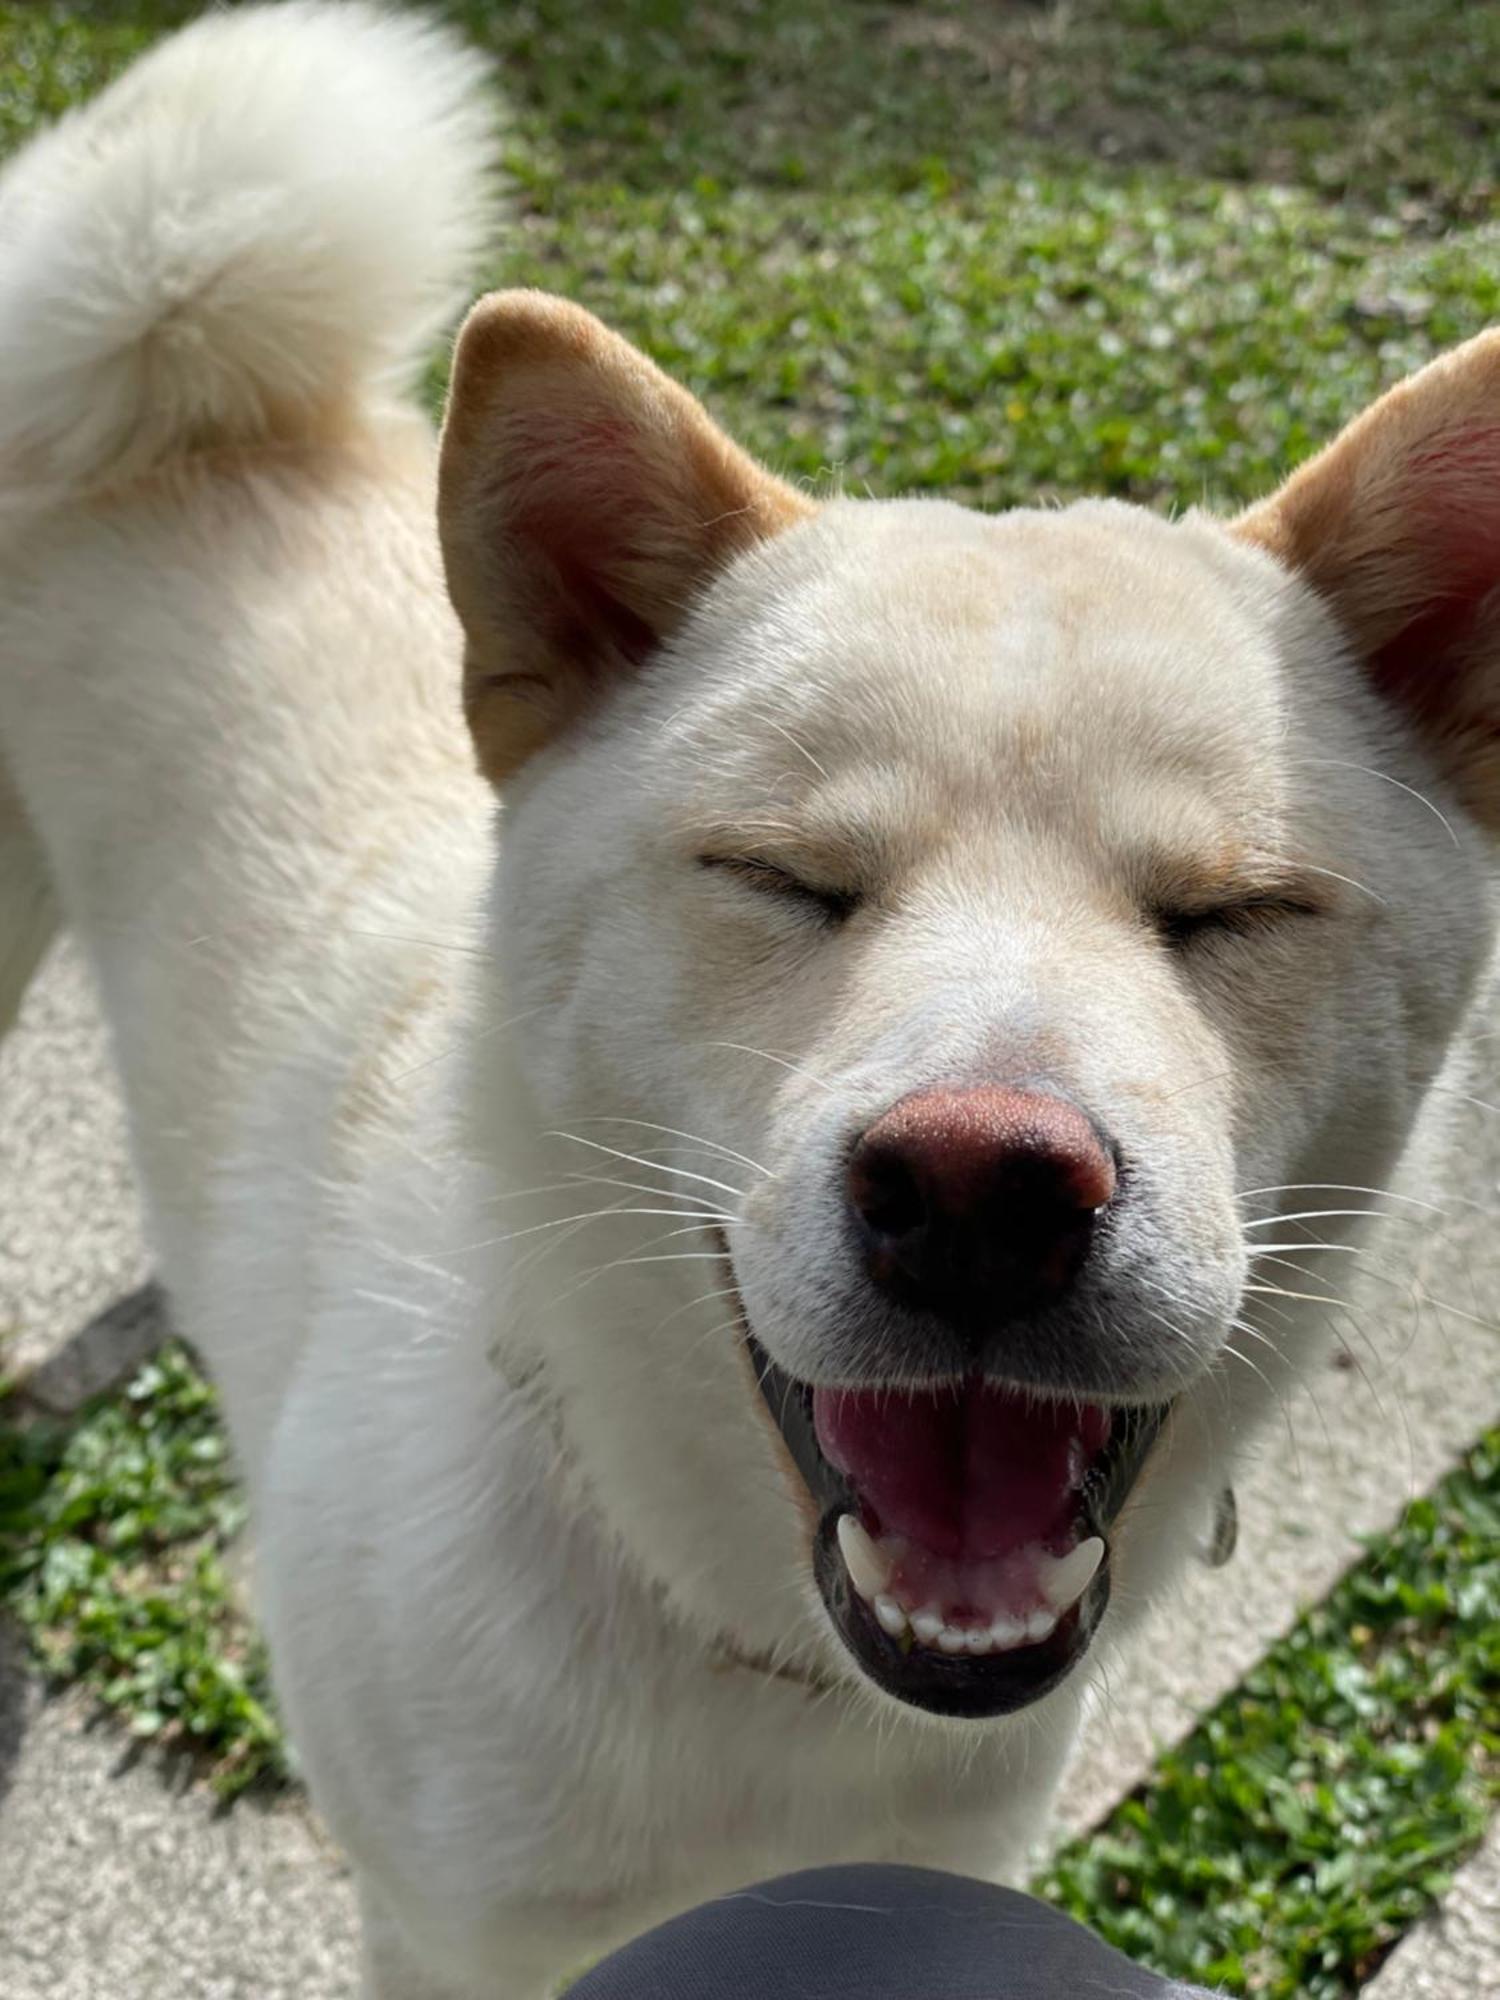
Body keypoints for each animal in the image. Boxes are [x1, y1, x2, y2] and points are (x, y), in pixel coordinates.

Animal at [2, 7, 1500, 1992]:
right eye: (787, 881)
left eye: (1231, 911)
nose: (986, 1190)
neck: (771, 1669)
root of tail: (178, 393)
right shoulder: (447, 1936)